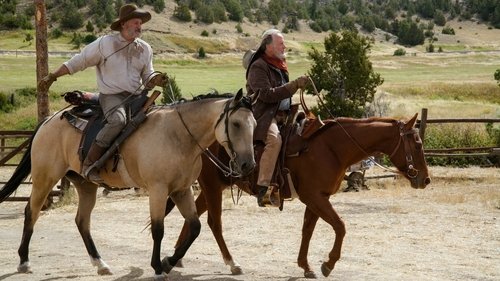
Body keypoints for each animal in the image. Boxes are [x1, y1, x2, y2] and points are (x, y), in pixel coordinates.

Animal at [0, 89, 256, 278]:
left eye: (254, 124)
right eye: (236, 124)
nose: (248, 165)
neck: (178, 136)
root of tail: (48, 120)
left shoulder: (181, 190)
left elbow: (194, 227)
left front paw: (168, 262)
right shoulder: (158, 190)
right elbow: (158, 229)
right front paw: (158, 267)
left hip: (85, 185)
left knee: (82, 221)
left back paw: (100, 264)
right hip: (45, 178)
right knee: (31, 212)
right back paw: (24, 261)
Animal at [167, 112, 430, 276]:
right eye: (417, 144)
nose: (425, 179)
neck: (332, 148)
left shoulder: (318, 198)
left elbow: (308, 230)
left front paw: (306, 266)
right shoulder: (315, 197)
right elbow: (340, 226)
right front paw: (328, 264)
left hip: (213, 186)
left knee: (193, 217)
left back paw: (176, 258)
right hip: (212, 186)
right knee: (214, 223)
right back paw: (232, 264)